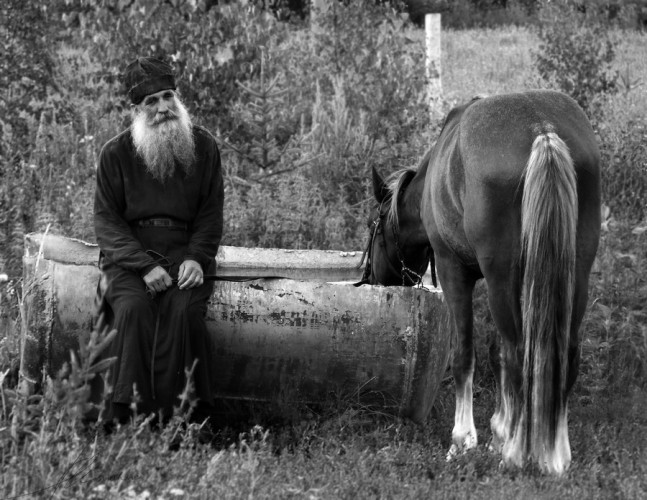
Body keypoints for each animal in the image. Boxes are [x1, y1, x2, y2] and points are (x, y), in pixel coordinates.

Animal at [360, 88, 604, 474]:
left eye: (374, 228)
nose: (370, 277)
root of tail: (543, 130)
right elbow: (496, 353)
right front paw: (500, 430)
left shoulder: (454, 272)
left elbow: (465, 355)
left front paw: (464, 439)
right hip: (574, 274)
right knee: (563, 351)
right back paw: (555, 454)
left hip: (502, 276)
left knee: (518, 353)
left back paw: (516, 454)